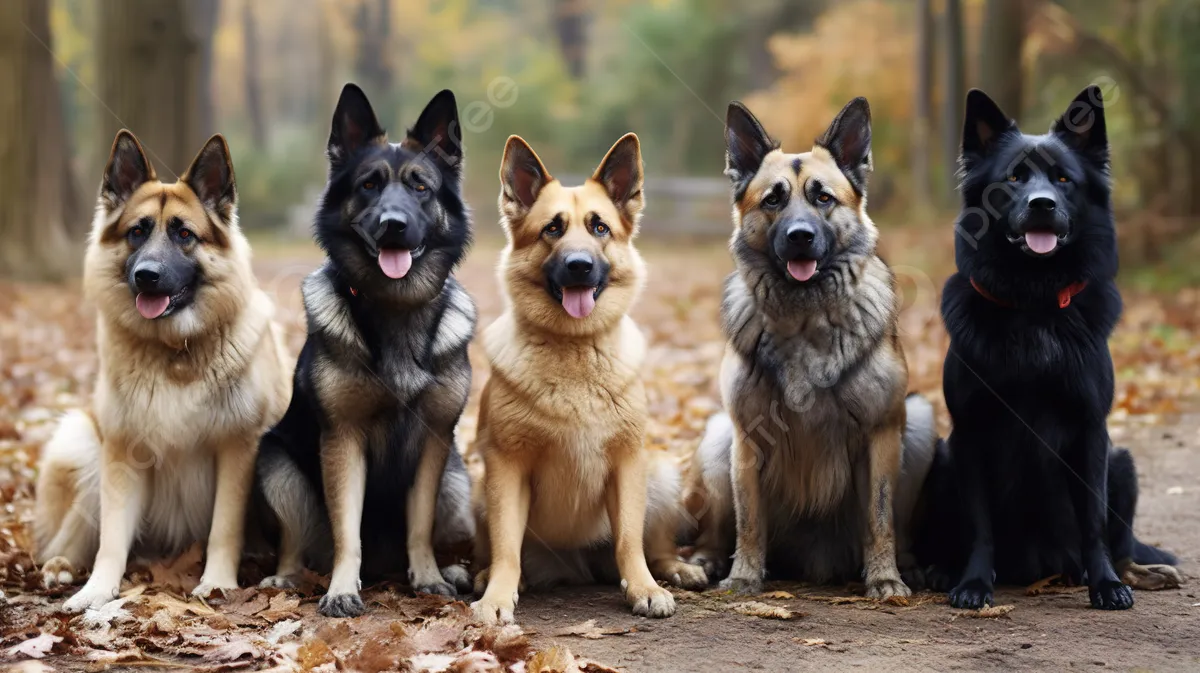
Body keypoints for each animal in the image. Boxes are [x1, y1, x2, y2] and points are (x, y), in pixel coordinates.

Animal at [258, 85, 477, 619]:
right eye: (369, 185)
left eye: (421, 187)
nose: (392, 225)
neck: (394, 307)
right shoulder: (343, 441)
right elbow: (347, 531)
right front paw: (341, 589)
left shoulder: (434, 443)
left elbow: (419, 526)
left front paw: (428, 578)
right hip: (276, 467)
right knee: (296, 542)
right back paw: (288, 577)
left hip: (458, 483)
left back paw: (451, 570)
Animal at [468, 134, 700, 623]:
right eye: (552, 230)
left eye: (600, 228)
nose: (578, 265)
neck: (573, 348)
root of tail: (578, 567)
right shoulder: (506, 468)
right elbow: (506, 547)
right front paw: (497, 596)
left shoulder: (628, 464)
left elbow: (629, 540)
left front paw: (643, 588)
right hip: (479, 491)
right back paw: (486, 576)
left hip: (660, 474)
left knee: (652, 544)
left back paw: (673, 568)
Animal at [686, 97, 936, 595]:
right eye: (773, 199)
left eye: (823, 198)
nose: (799, 236)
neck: (804, 316)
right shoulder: (747, 439)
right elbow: (749, 521)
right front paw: (744, 576)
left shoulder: (881, 435)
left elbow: (879, 517)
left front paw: (884, 578)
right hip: (718, 436)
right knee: (718, 529)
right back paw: (708, 561)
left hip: (919, 422)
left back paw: (907, 564)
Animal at [926, 83, 1180, 609]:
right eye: (1014, 178)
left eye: (1063, 178)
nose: (1042, 204)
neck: (1034, 301)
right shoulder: (970, 433)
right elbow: (980, 525)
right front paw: (974, 582)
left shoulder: (1091, 432)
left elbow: (1094, 522)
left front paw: (1106, 584)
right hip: (942, 459)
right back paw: (943, 570)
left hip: (1122, 464)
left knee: (1123, 545)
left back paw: (1137, 573)